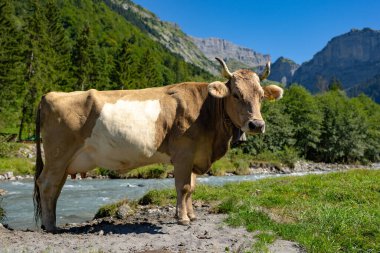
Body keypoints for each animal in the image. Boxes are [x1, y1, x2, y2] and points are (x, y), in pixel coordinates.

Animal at [34, 57, 284, 231]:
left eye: (261, 96)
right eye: (235, 94)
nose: (256, 124)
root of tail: (49, 95)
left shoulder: (195, 156)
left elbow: (192, 187)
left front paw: (191, 215)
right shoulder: (183, 153)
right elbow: (183, 187)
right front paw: (183, 219)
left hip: (64, 161)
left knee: (56, 187)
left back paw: (50, 223)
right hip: (58, 153)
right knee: (46, 184)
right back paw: (52, 226)